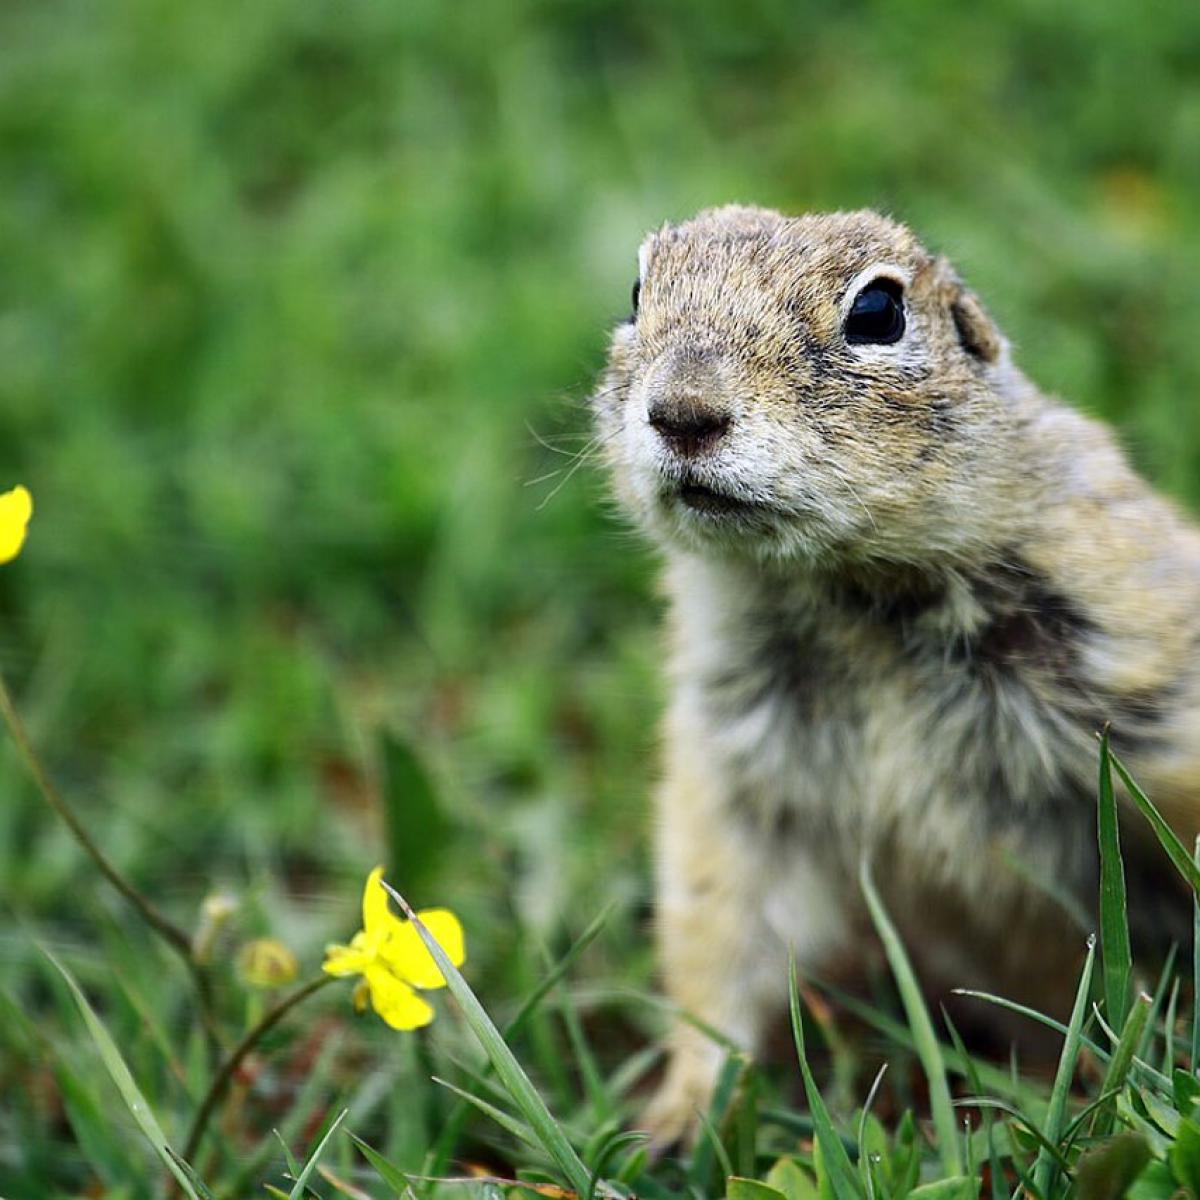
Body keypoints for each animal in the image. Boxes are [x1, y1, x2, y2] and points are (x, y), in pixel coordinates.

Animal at [595, 204, 1200, 1142]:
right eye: (635, 293)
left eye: (878, 311)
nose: (683, 412)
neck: (856, 599)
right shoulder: (736, 772)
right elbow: (717, 928)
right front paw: (679, 1117)